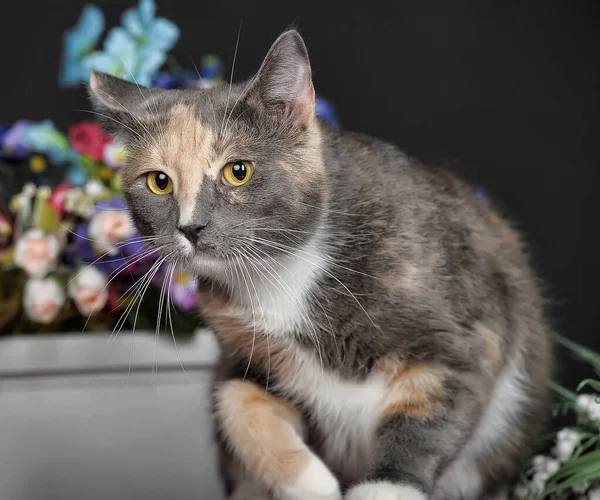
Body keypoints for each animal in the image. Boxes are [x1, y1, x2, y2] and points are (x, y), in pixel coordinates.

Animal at [89, 30, 552, 500]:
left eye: (238, 171)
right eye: (159, 181)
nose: (190, 227)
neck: (280, 274)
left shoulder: (462, 337)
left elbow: (429, 414)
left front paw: (380, 489)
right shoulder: (241, 354)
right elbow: (232, 399)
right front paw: (312, 483)